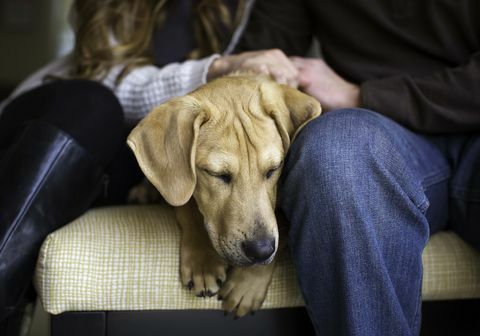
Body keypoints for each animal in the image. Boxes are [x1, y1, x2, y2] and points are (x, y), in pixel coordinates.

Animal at [127, 73, 322, 318]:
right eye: (217, 174)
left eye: (273, 169)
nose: (261, 251)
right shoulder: (182, 187)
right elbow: (188, 207)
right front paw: (203, 261)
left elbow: (282, 230)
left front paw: (248, 283)